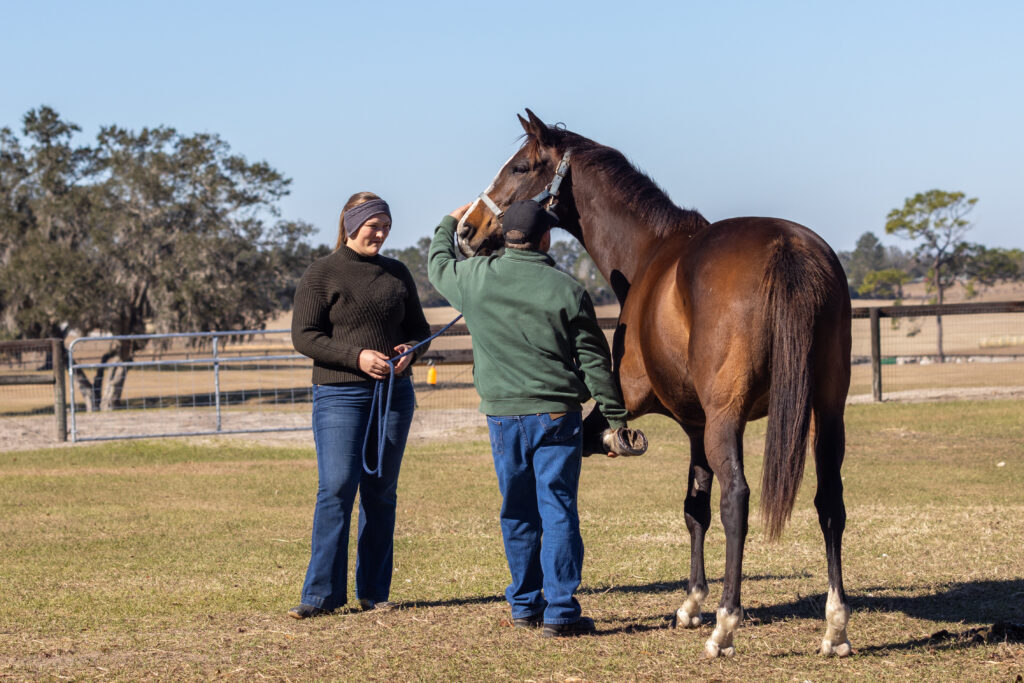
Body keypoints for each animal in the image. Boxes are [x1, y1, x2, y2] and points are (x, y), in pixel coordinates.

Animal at [456, 110, 853, 658]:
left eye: (519, 167)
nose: (466, 228)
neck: (652, 253)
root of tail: (787, 247)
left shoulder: (628, 403)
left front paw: (706, 609)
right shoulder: (695, 426)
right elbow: (694, 508)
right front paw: (691, 602)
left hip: (729, 419)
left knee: (737, 500)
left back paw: (724, 627)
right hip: (826, 412)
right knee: (829, 502)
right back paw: (835, 627)